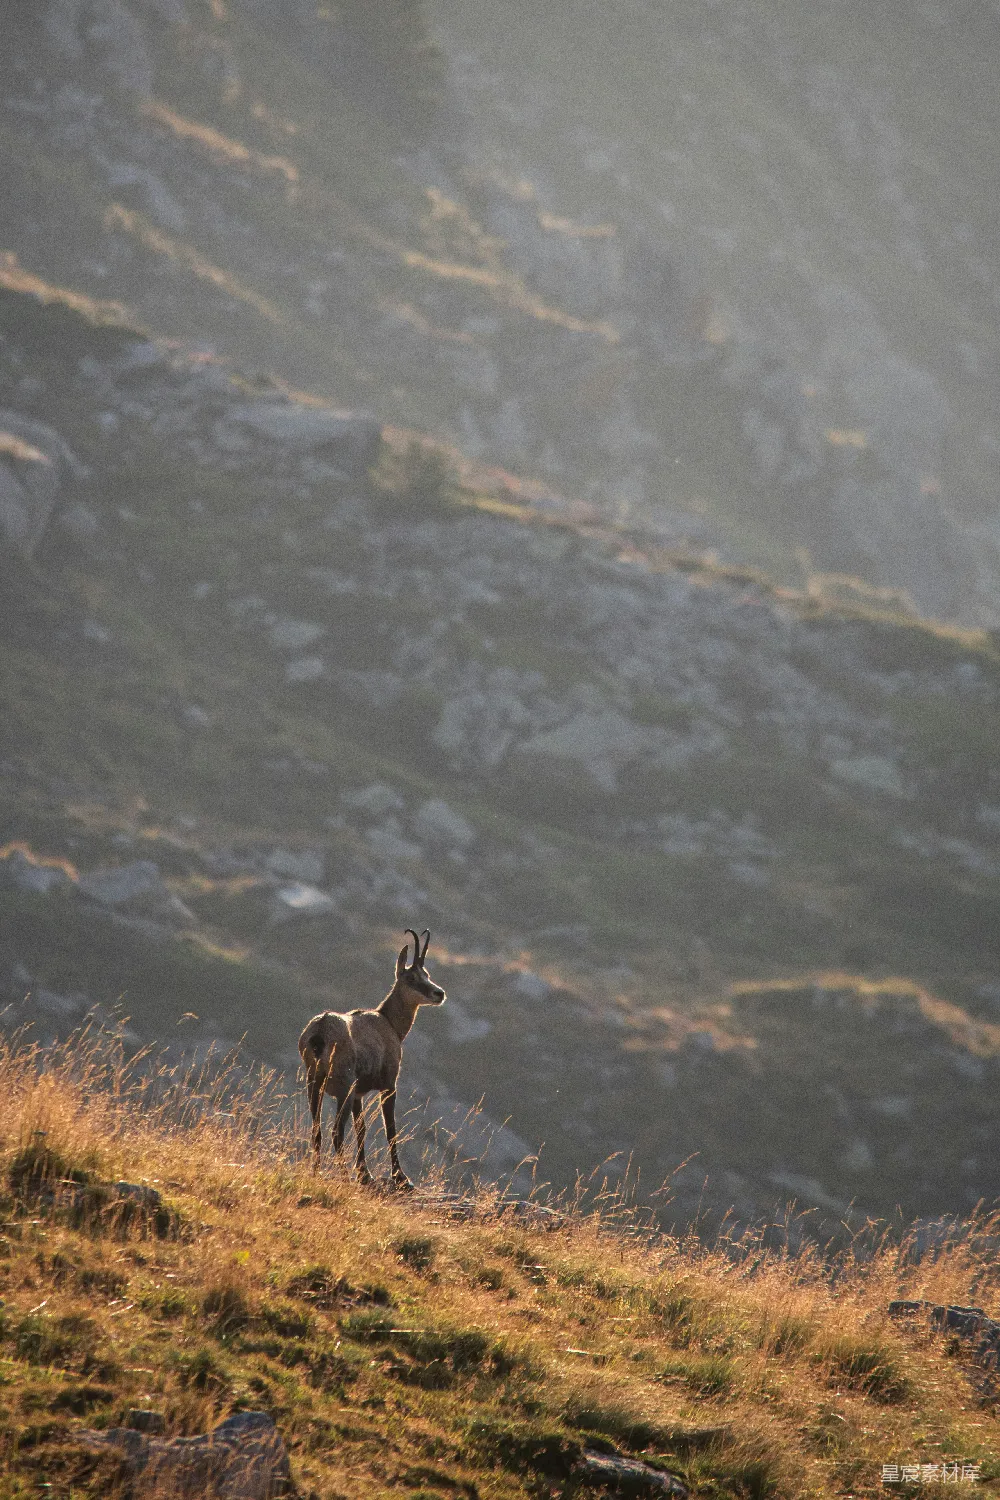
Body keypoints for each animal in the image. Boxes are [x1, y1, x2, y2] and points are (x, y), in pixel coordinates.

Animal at [298, 928, 446, 1190]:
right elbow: (390, 1129)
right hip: (343, 1086)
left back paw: (316, 1171)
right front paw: (401, 1177)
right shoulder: (388, 1085)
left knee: (317, 1128)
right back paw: (343, 1175)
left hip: (314, 1082)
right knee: (336, 1131)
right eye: (411, 978)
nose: (439, 993)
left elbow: (362, 1129)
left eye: (426, 974)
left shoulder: (358, 1094)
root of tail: (319, 1033)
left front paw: (365, 1173)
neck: (389, 1023)